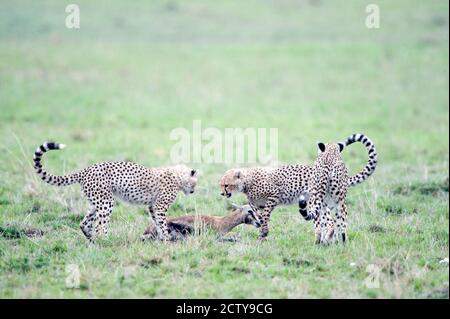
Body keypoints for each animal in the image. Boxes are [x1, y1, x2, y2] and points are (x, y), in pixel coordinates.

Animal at [32, 142, 198, 242]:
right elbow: (162, 222)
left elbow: (157, 221)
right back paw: (106, 242)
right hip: (106, 202)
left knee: (84, 223)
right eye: (195, 183)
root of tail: (86, 170)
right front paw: (166, 239)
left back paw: (92, 241)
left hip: (96, 202)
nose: (193, 191)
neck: (177, 175)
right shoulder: (159, 206)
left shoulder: (152, 206)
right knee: (100, 226)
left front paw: (161, 238)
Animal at [218, 134, 376, 244]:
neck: (247, 182)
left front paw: (263, 235)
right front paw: (263, 234)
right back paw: (332, 241)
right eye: (221, 184)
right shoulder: (258, 206)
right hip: (327, 201)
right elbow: (260, 217)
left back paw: (323, 241)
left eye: (226, 185)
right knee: (335, 220)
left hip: (316, 202)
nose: (222, 193)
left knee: (329, 222)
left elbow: (265, 217)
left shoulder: (273, 197)